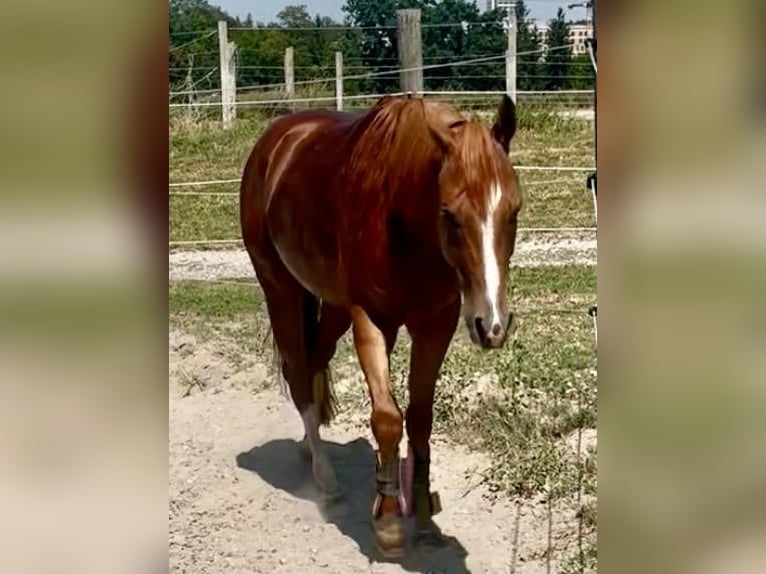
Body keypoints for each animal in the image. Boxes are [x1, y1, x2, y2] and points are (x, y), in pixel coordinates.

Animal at [239, 94, 522, 557]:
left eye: (513, 211)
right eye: (449, 214)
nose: (492, 325)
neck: (402, 221)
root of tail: (276, 140)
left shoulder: (435, 325)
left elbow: (421, 420)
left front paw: (423, 521)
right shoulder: (372, 321)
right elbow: (388, 418)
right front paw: (388, 525)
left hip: (334, 307)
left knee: (315, 363)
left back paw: (308, 449)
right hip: (280, 290)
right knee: (298, 373)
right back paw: (325, 480)